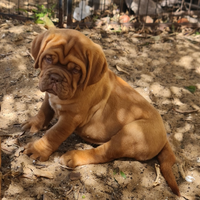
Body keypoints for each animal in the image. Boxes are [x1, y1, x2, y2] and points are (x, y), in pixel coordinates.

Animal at [21, 28, 180, 196]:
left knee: (103, 153)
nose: (55, 77)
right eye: (48, 59)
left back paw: (73, 157)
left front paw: (37, 149)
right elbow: (44, 109)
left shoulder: (70, 118)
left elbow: (53, 134)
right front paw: (33, 123)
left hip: (130, 133)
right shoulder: (49, 96)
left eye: (76, 70)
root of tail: (164, 136)